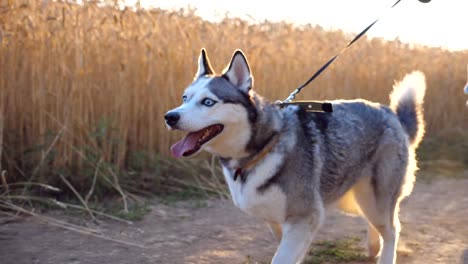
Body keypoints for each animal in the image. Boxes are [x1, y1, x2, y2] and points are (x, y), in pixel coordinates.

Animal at [165, 48, 428, 264]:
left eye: (208, 102)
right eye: (185, 98)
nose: (170, 117)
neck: (263, 147)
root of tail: (390, 113)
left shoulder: (305, 218)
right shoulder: (280, 223)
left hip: (373, 198)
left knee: (392, 229)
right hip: (355, 199)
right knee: (379, 224)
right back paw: (373, 246)